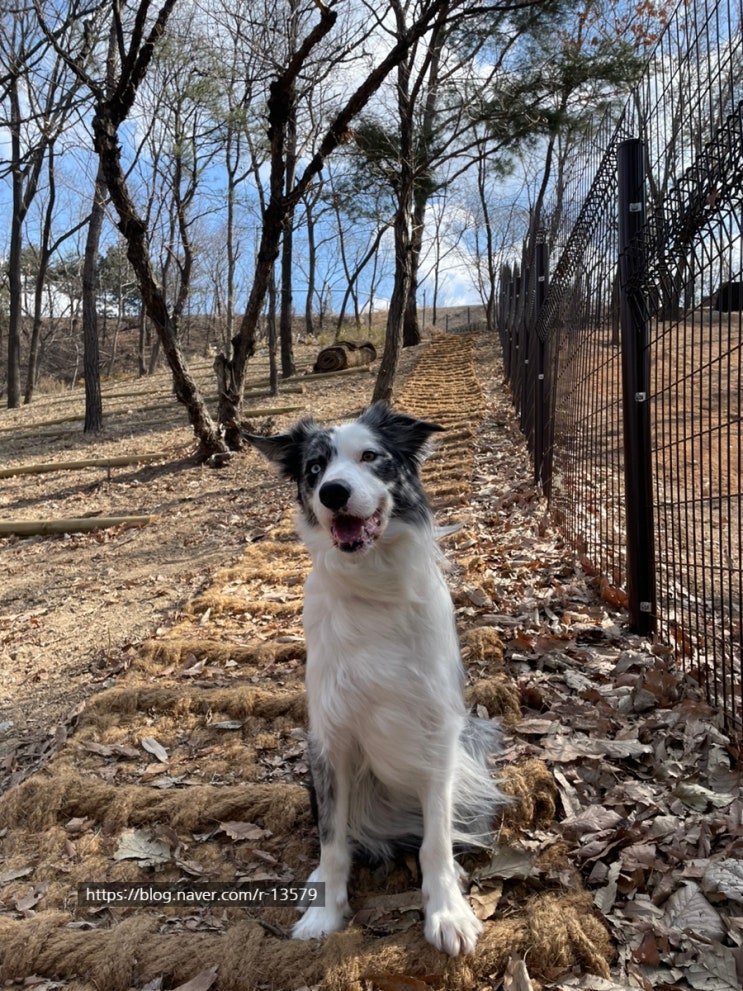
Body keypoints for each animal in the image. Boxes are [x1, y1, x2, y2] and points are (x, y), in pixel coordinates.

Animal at [250, 404, 506, 960]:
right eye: (315, 469)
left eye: (370, 456)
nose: (333, 493)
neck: (373, 585)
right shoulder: (329, 735)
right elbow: (332, 839)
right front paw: (325, 912)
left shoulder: (439, 728)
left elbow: (435, 840)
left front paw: (447, 911)